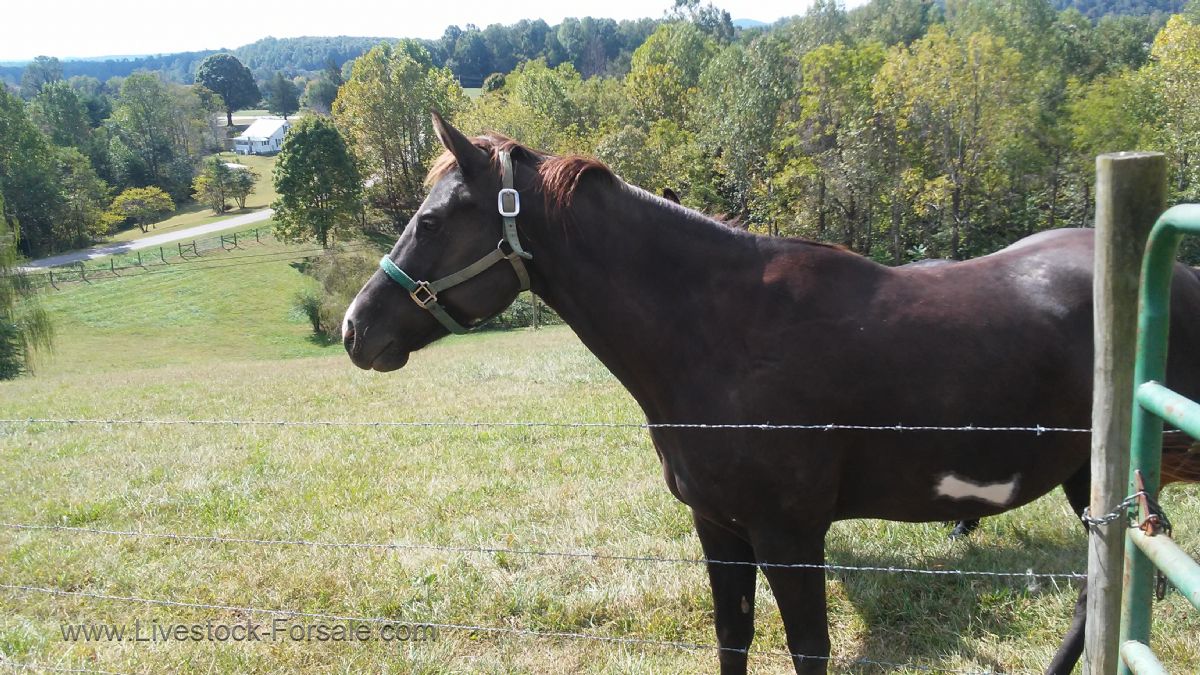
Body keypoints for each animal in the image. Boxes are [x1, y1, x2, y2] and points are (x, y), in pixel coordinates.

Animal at [341, 114, 1200, 674]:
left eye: (431, 220)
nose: (356, 328)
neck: (723, 333)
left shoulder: (790, 535)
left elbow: (807, 648)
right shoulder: (720, 527)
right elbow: (734, 639)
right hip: (1085, 475)